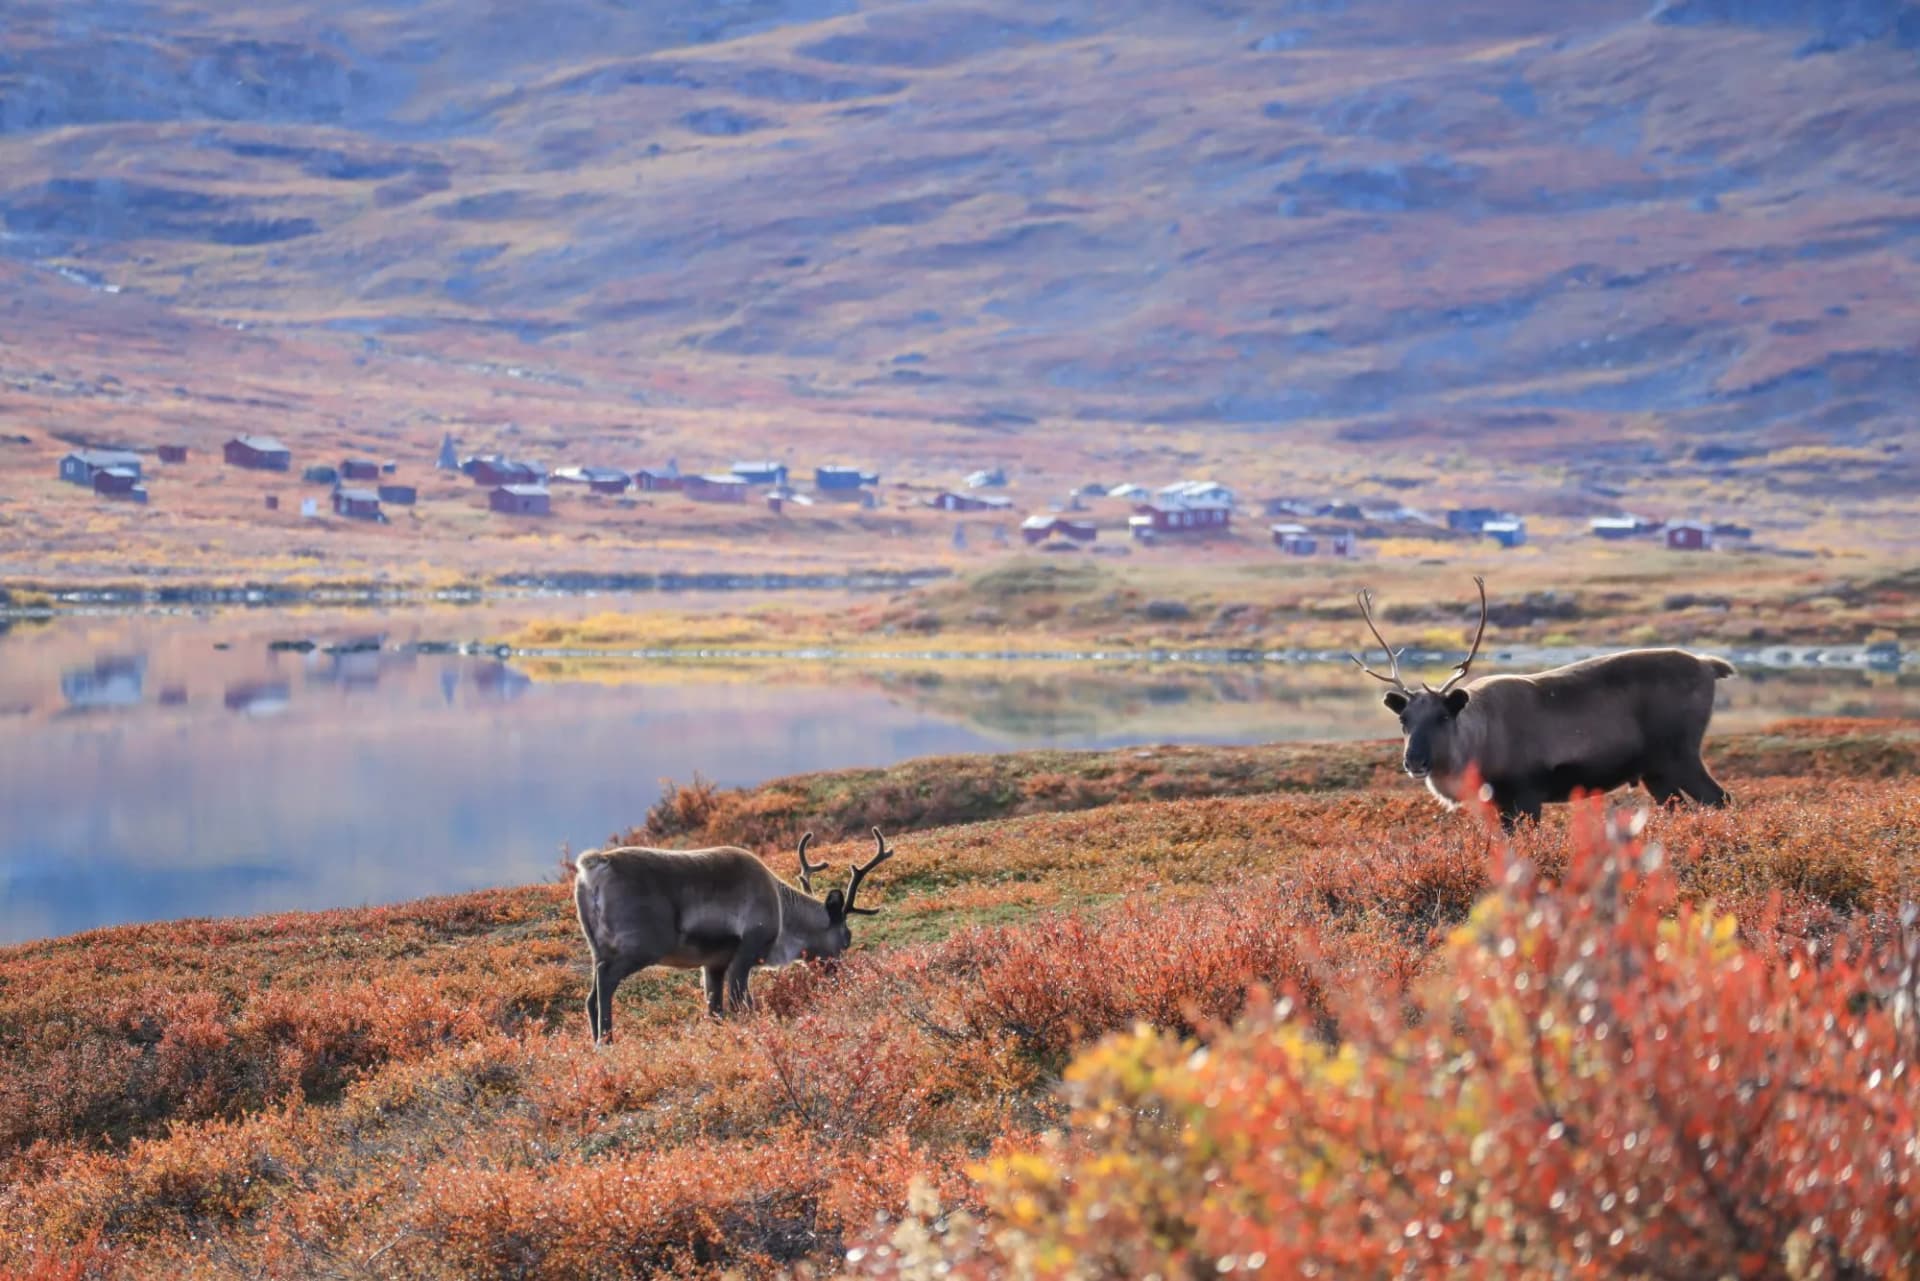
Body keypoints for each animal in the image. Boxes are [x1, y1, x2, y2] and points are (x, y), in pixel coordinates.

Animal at [572, 828, 896, 1041]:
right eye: (846, 937)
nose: (839, 975)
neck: (783, 911)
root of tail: (594, 866)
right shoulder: (746, 951)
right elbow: (741, 1000)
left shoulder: (713, 963)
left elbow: (715, 1008)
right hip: (641, 946)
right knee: (605, 981)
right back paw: (606, 1040)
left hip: (598, 947)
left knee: (590, 995)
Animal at [1351, 577, 1736, 829]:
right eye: (1404, 721)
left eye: (1443, 717)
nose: (1415, 761)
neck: (1478, 742)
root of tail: (1709, 665)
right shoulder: (1499, 803)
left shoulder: (1527, 793)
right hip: (1654, 771)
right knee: (1680, 808)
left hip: (1681, 754)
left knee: (1720, 799)